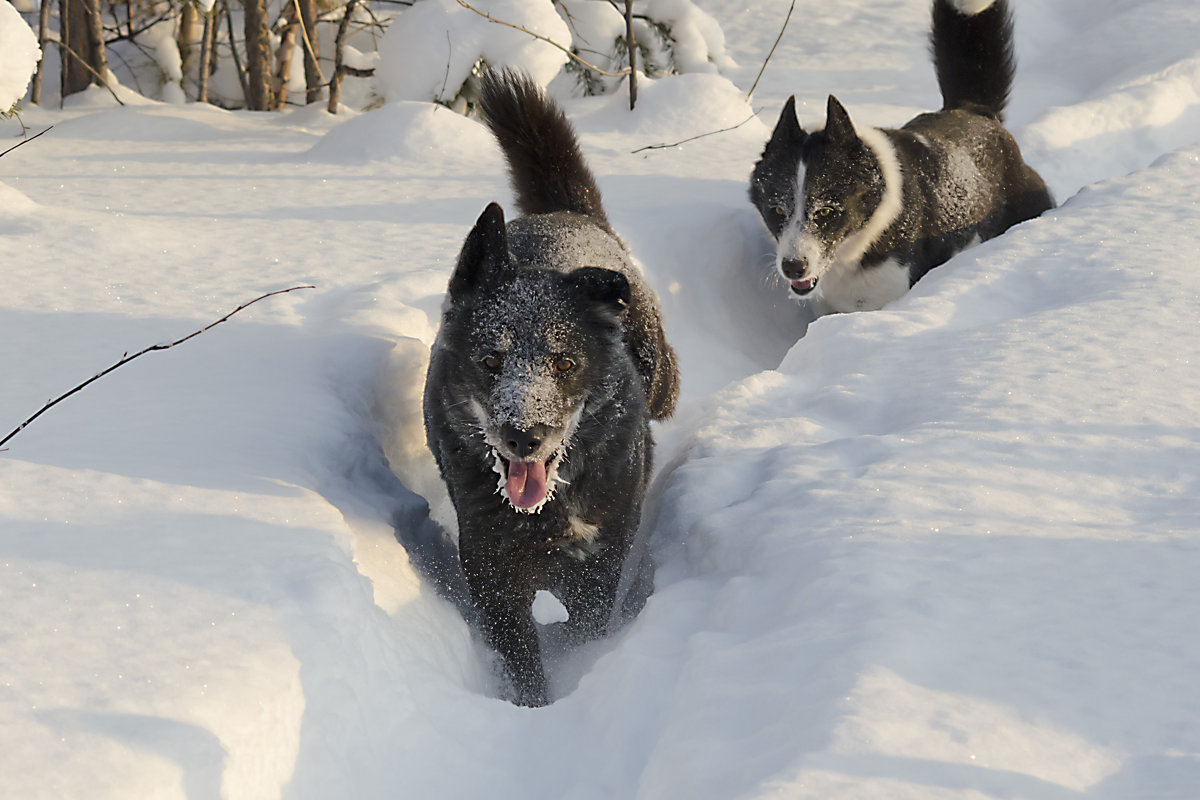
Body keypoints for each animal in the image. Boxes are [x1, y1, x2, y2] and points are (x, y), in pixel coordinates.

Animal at [424, 70, 681, 705]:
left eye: (564, 363)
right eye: (491, 359)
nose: (525, 436)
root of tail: (565, 213)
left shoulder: (598, 563)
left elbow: (585, 628)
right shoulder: (491, 572)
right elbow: (521, 657)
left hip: (663, 378)